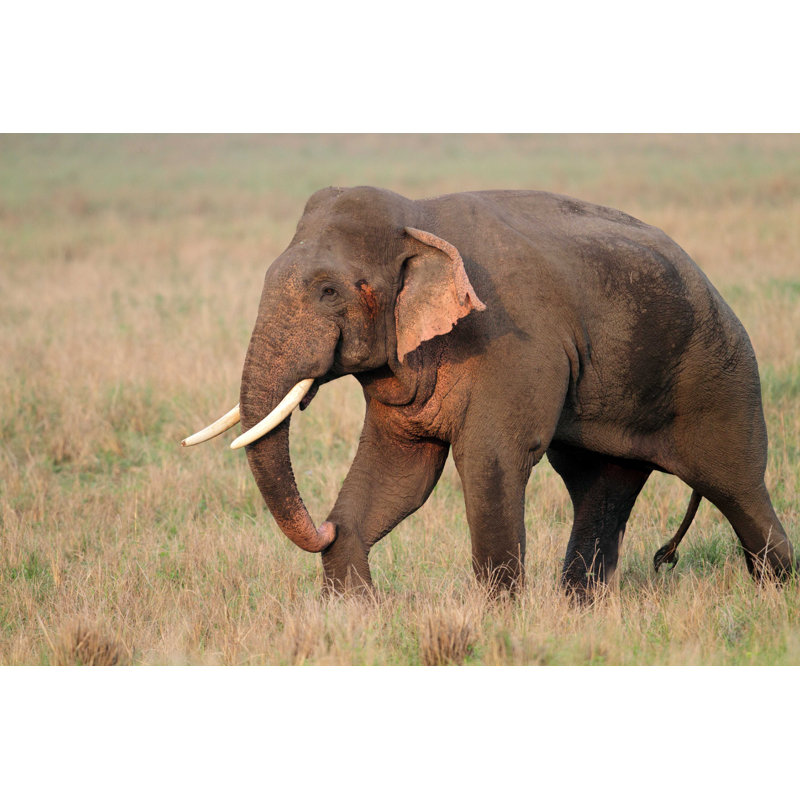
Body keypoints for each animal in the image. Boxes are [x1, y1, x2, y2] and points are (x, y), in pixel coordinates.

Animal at [182, 185, 796, 598]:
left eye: (329, 290)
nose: (322, 525)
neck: (418, 219)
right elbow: (401, 474)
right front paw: (354, 611)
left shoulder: (513, 344)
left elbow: (489, 458)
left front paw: (499, 616)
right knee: (600, 487)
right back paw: (580, 608)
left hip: (721, 376)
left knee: (736, 488)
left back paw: (774, 595)